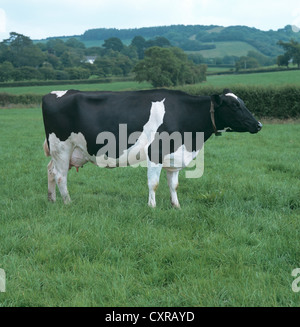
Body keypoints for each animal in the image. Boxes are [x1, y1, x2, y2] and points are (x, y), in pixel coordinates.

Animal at [42, 88, 262, 209]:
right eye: (234, 106)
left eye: (243, 103)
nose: (258, 125)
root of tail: (51, 94)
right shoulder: (156, 152)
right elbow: (153, 184)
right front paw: (152, 207)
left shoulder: (173, 156)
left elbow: (174, 185)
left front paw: (176, 206)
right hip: (62, 147)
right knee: (61, 176)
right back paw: (67, 202)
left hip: (65, 151)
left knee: (51, 170)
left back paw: (52, 200)